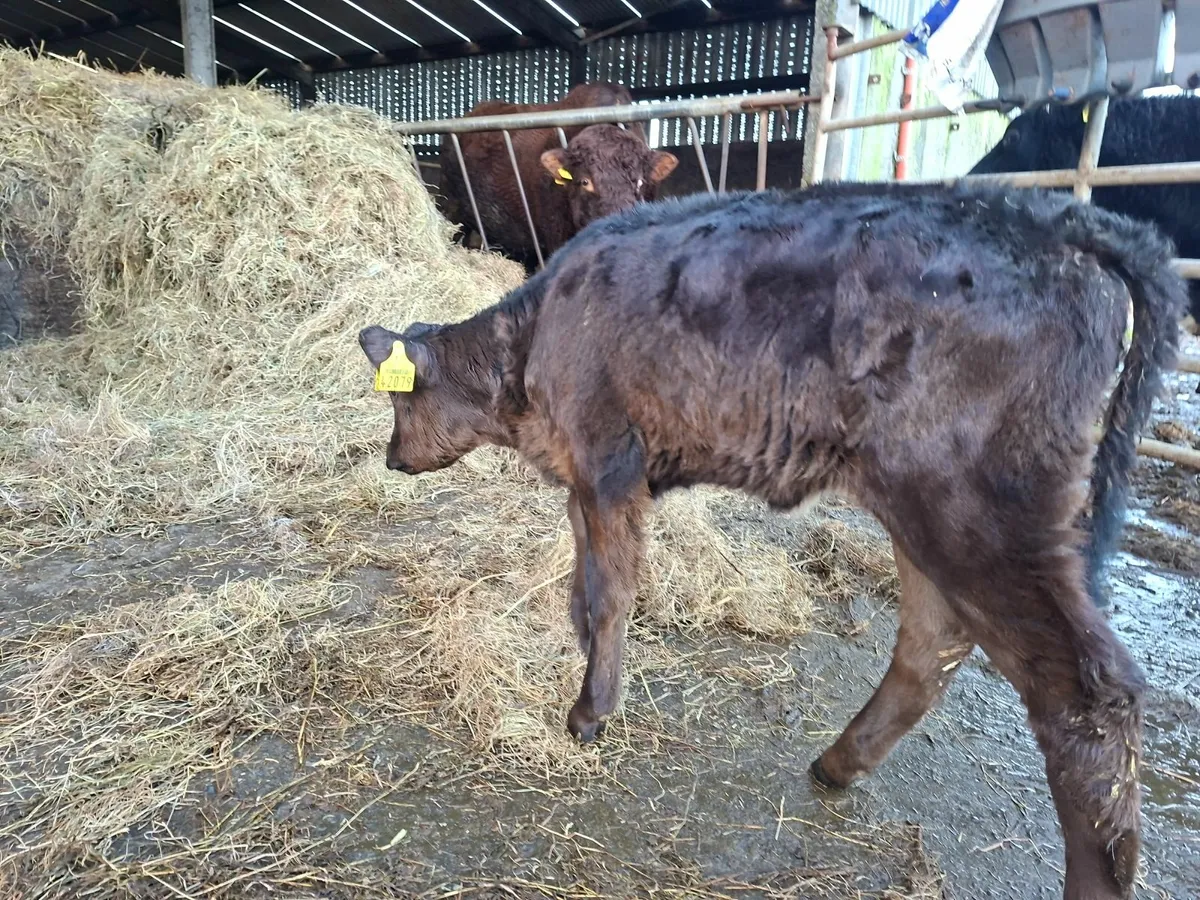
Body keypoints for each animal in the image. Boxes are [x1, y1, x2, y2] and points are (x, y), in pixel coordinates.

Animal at [359, 182, 1185, 900]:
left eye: (400, 401)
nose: (391, 458)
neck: (535, 341)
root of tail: (1059, 218)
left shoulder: (606, 462)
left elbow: (609, 593)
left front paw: (591, 712)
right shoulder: (583, 480)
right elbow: (581, 589)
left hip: (982, 508)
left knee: (1087, 694)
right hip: (925, 506)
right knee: (935, 639)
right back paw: (837, 764)